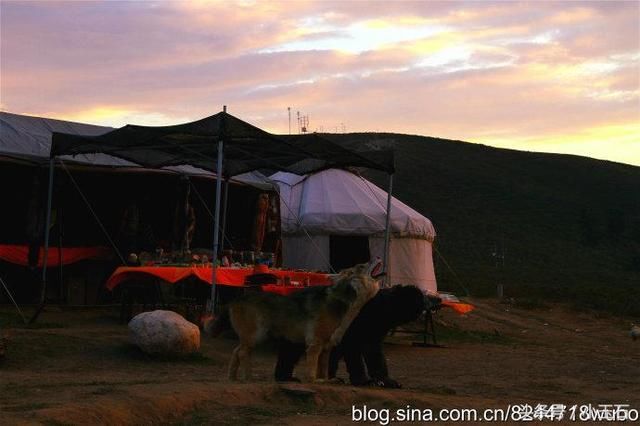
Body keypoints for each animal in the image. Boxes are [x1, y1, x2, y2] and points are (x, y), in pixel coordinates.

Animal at [274, 284, 424, 388]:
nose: (420, 314)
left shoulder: (375, 331)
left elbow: (374, 353)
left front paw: (386, 381)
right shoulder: (351, 331)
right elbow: (354, 354)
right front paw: (363, 381)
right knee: (290, 351)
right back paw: (285, 377)